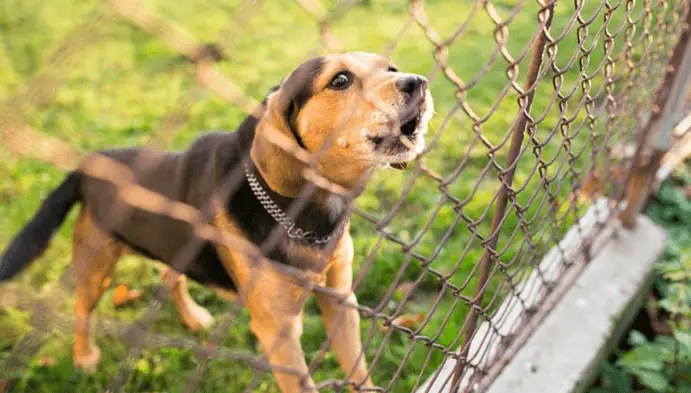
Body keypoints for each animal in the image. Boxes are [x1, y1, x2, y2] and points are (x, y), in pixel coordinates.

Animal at [0, 51, 432, 388]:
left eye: (390, 67)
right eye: (340, 80)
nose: (420, 82)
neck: (306, 210)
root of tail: (89, 164)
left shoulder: (341, 300)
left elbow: (359, 370)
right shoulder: (278, 331)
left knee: (168, 275)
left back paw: (193, 318)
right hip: (95, 262)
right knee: (81, 309)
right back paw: (85, 355)